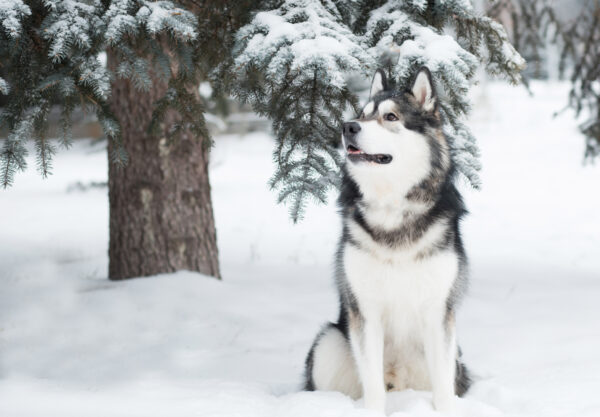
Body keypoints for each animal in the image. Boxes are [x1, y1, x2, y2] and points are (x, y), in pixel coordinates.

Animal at [308, 67, 472, 412]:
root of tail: (399, 380)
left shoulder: (437, 310)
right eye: (362, 114)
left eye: (391, 117)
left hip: (452, 356)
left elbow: (443, 386)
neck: (392, 207)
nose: (348, 126)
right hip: (327, 343)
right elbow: (372, 384)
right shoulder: (365, 311)